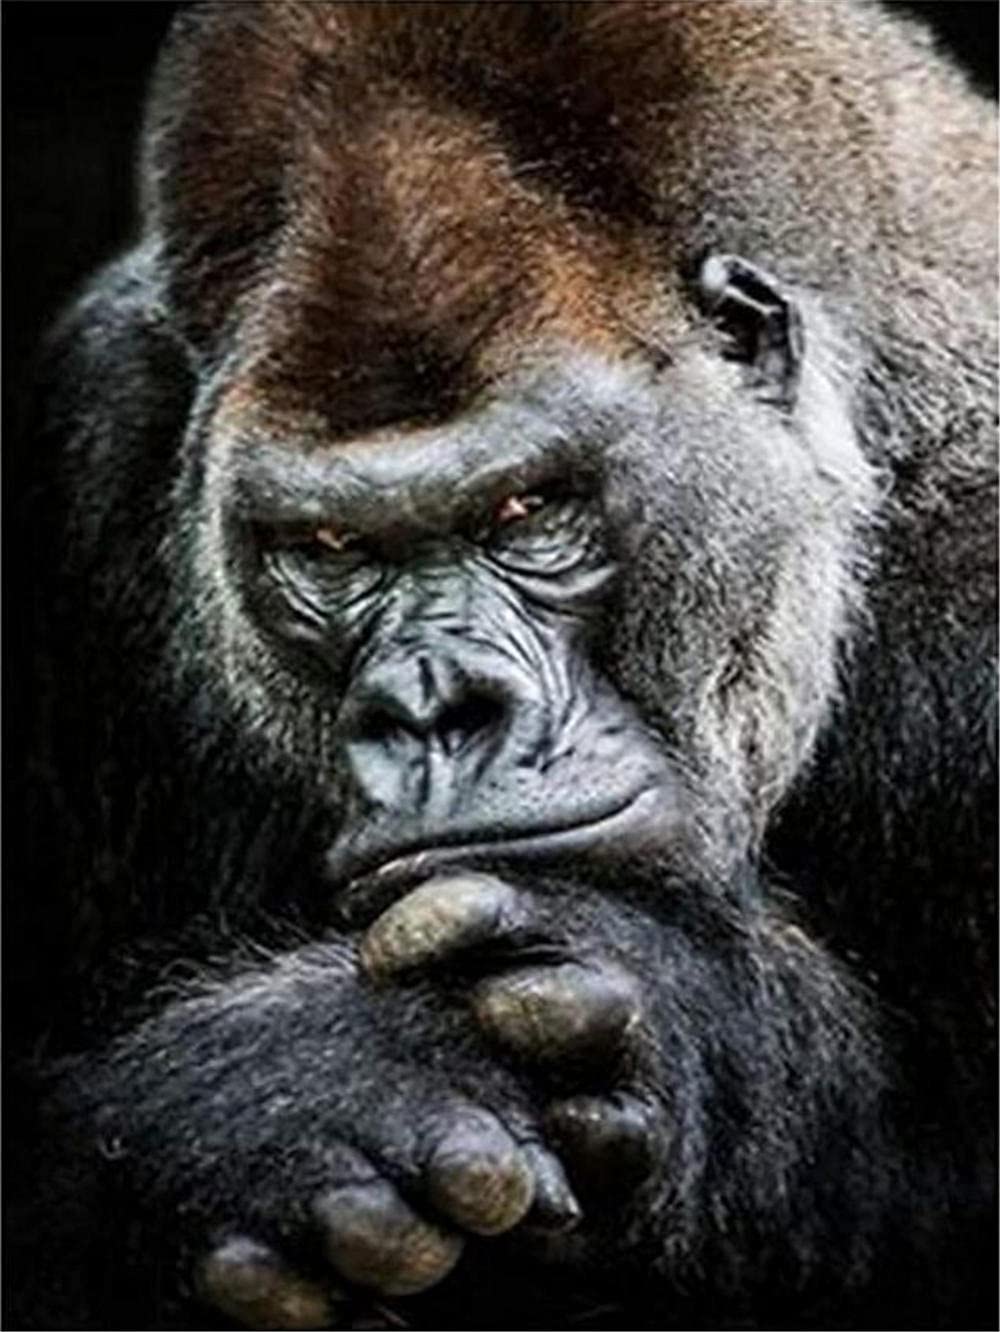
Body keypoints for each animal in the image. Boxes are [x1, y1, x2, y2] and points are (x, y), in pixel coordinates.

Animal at [5, 2, 995, 1329]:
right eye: (327, 548)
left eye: (529, 510)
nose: (435, 706)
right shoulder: (97, 437)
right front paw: (267, 1109)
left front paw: (686, 1025)